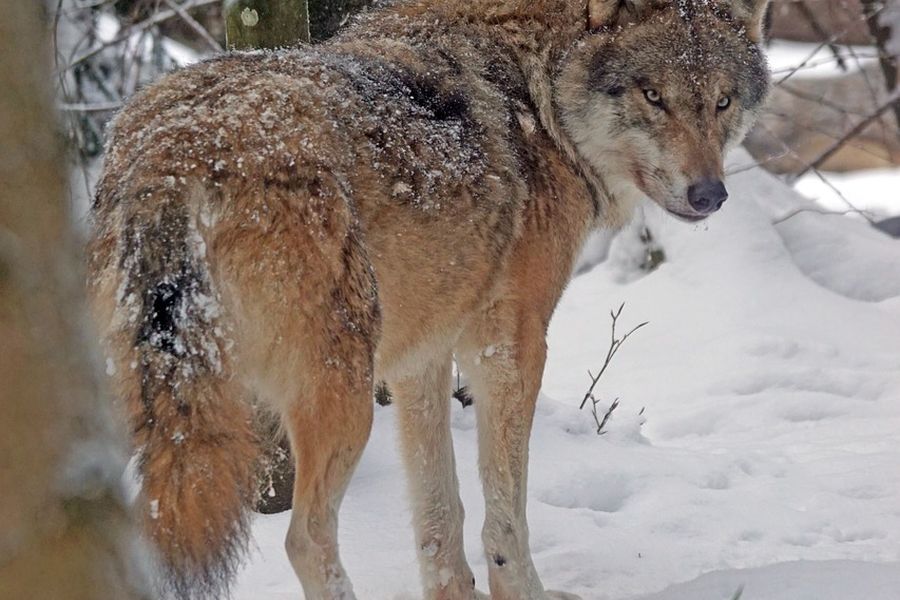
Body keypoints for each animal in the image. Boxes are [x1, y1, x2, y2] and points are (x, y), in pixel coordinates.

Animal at [88, 0, 768, 596]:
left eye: (722, 100)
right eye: (653, 96)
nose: (709, 195)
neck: (541, 94)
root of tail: (171, 157)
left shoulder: (421, 359)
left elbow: (441, 516)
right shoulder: (508, 348)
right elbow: (506, 518)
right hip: (341, 399)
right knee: (305, 541)